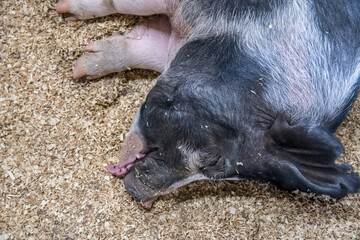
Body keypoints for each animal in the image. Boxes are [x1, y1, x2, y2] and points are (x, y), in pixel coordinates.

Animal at [55, 0, 360, 208]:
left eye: (216, 174)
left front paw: (80, 67)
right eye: (213, 157)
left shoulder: (175, 45)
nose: (138, 194)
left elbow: (141, 47)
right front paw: (64, 14)